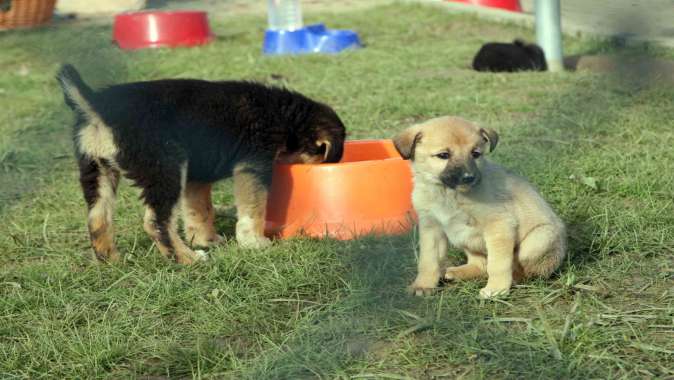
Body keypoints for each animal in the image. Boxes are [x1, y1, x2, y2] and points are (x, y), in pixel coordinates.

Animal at [56, 64, 346, 264]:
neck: (284, 115)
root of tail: (97, 106)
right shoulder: (254, 165)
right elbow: (254, 209)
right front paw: (254, 242)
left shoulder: (196, 178)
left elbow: (200, 211)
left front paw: (207, 240)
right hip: (166, 168)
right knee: (157, 222)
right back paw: (188, 259)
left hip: (97, 171)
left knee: (98, 218)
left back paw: (113, 260)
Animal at [392, 116, 564, 300]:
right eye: (443, 155)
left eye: (475, 154)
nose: (469, 177)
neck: (448, 194)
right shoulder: (432, 229)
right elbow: (428, 261)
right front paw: (423, 285)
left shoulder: (499, 225)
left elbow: (498, 264)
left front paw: (496, 289)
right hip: (464, 240)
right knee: (481, 265)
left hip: (538, 240)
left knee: (526, 269)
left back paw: (514, 279)